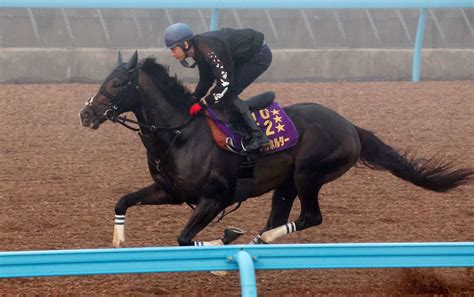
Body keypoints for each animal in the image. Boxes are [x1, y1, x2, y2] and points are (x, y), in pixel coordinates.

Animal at [79, 51, 472, 247]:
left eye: (117, 83)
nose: (86, 114)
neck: (180, 134)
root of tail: (350, 126)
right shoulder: (170, 192)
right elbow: (122, 201)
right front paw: (117, 240)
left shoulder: (215, 198)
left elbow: (185, 239)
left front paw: (225, 241)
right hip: (285, 184)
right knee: (280, 217)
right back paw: (257, 237)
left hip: (309, 174)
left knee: (310, 217)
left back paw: (262, 237)